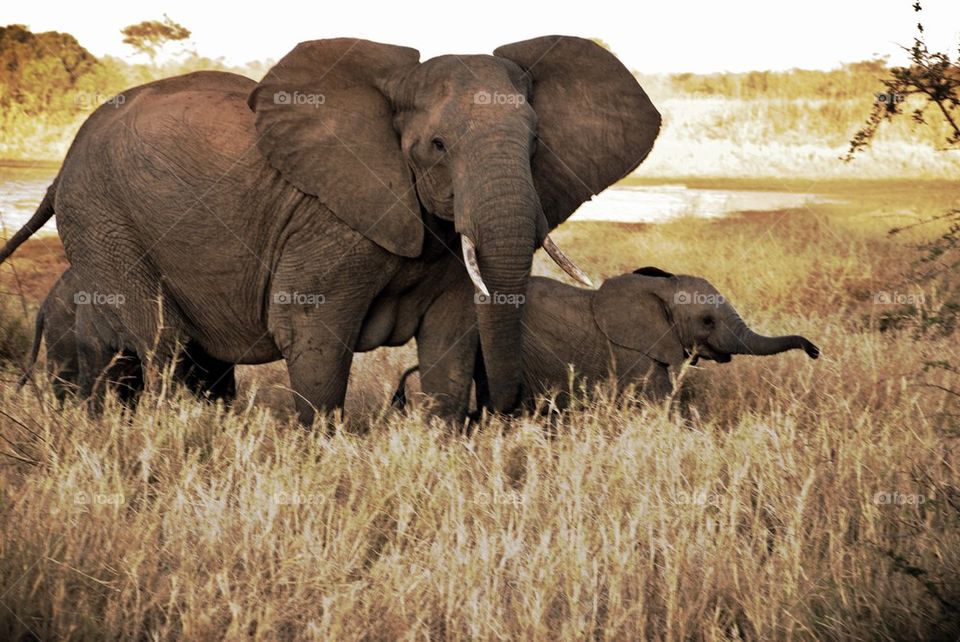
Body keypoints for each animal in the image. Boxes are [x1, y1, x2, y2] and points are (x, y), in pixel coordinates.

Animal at [0, 37, 660, 422]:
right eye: (437, 147)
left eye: (535, 144)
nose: (502, 415)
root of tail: (61, 167)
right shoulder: (331, 219)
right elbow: (310, 327)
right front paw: (318, 449)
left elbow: (452, 332)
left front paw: (443, 440)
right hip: (103, 218)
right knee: (162, 340)